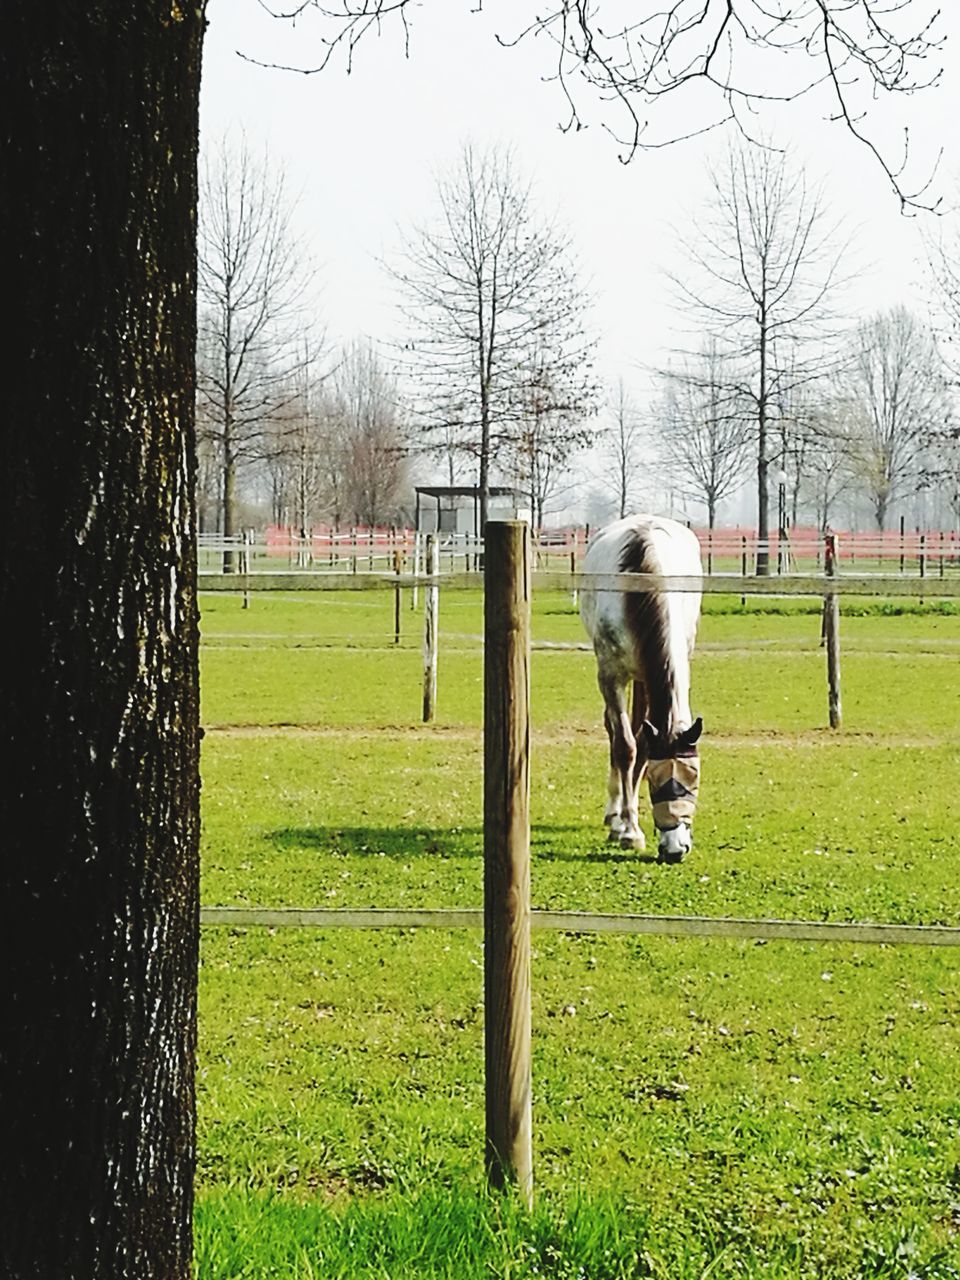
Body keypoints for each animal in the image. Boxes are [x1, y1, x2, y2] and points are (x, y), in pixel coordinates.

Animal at [578, 514, 706, 865]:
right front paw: (629, 831)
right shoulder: (610, 675)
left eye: (692, 780)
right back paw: (615, 815)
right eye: (657, 783)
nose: (676, 850)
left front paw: (628, 822)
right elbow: (625, 746)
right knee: (617, 732)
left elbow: (643, 745)